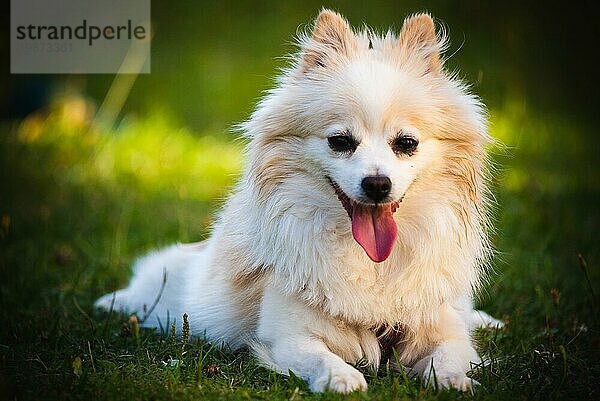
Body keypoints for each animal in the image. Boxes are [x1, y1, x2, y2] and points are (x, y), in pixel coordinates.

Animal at [97, 8, 502, 390]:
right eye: (340, 141)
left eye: (406, 143)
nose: (377, 184)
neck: (371, 262)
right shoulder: (289, 336)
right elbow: (321, 357)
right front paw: (342, 378)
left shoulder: (443, 327)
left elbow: (451, 352)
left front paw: (455, 380)